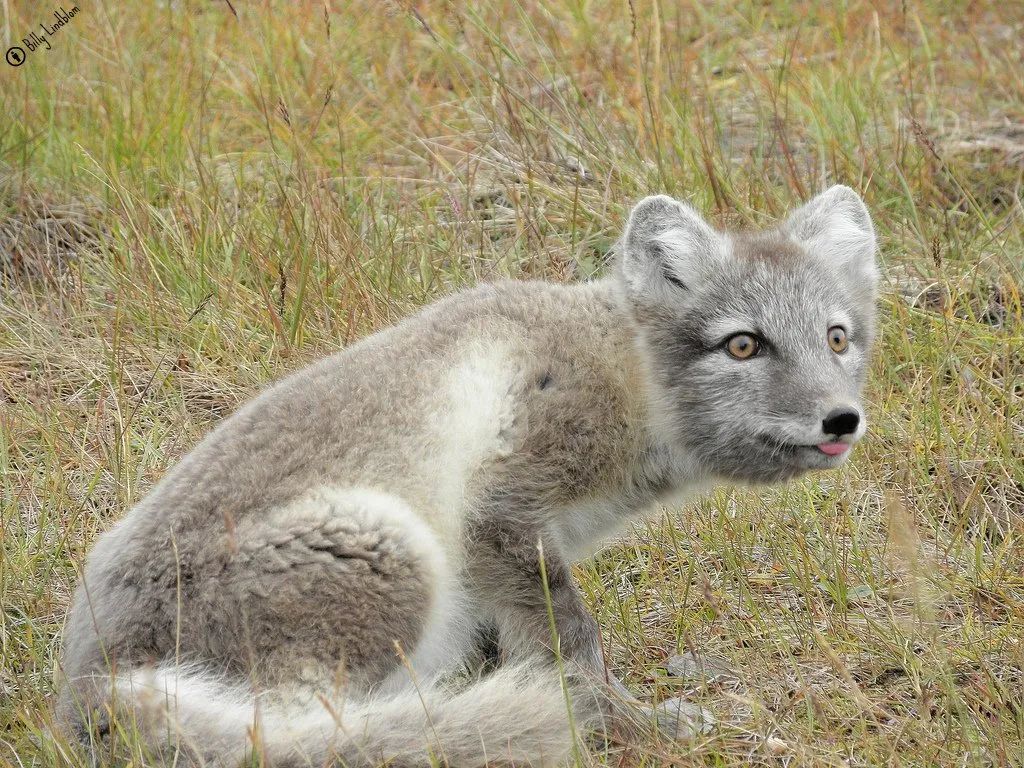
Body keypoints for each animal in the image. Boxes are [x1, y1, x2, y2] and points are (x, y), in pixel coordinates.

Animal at [56, 186, 876, 768]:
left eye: (837, 338)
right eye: (743, 345)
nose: (842, 420)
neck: (622, 370)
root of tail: (90, 687)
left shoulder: (499, 568)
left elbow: (515, 642)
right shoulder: (502, 512)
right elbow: (573, 648)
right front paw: (628, 727)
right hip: (391, 548)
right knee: (303, 735)